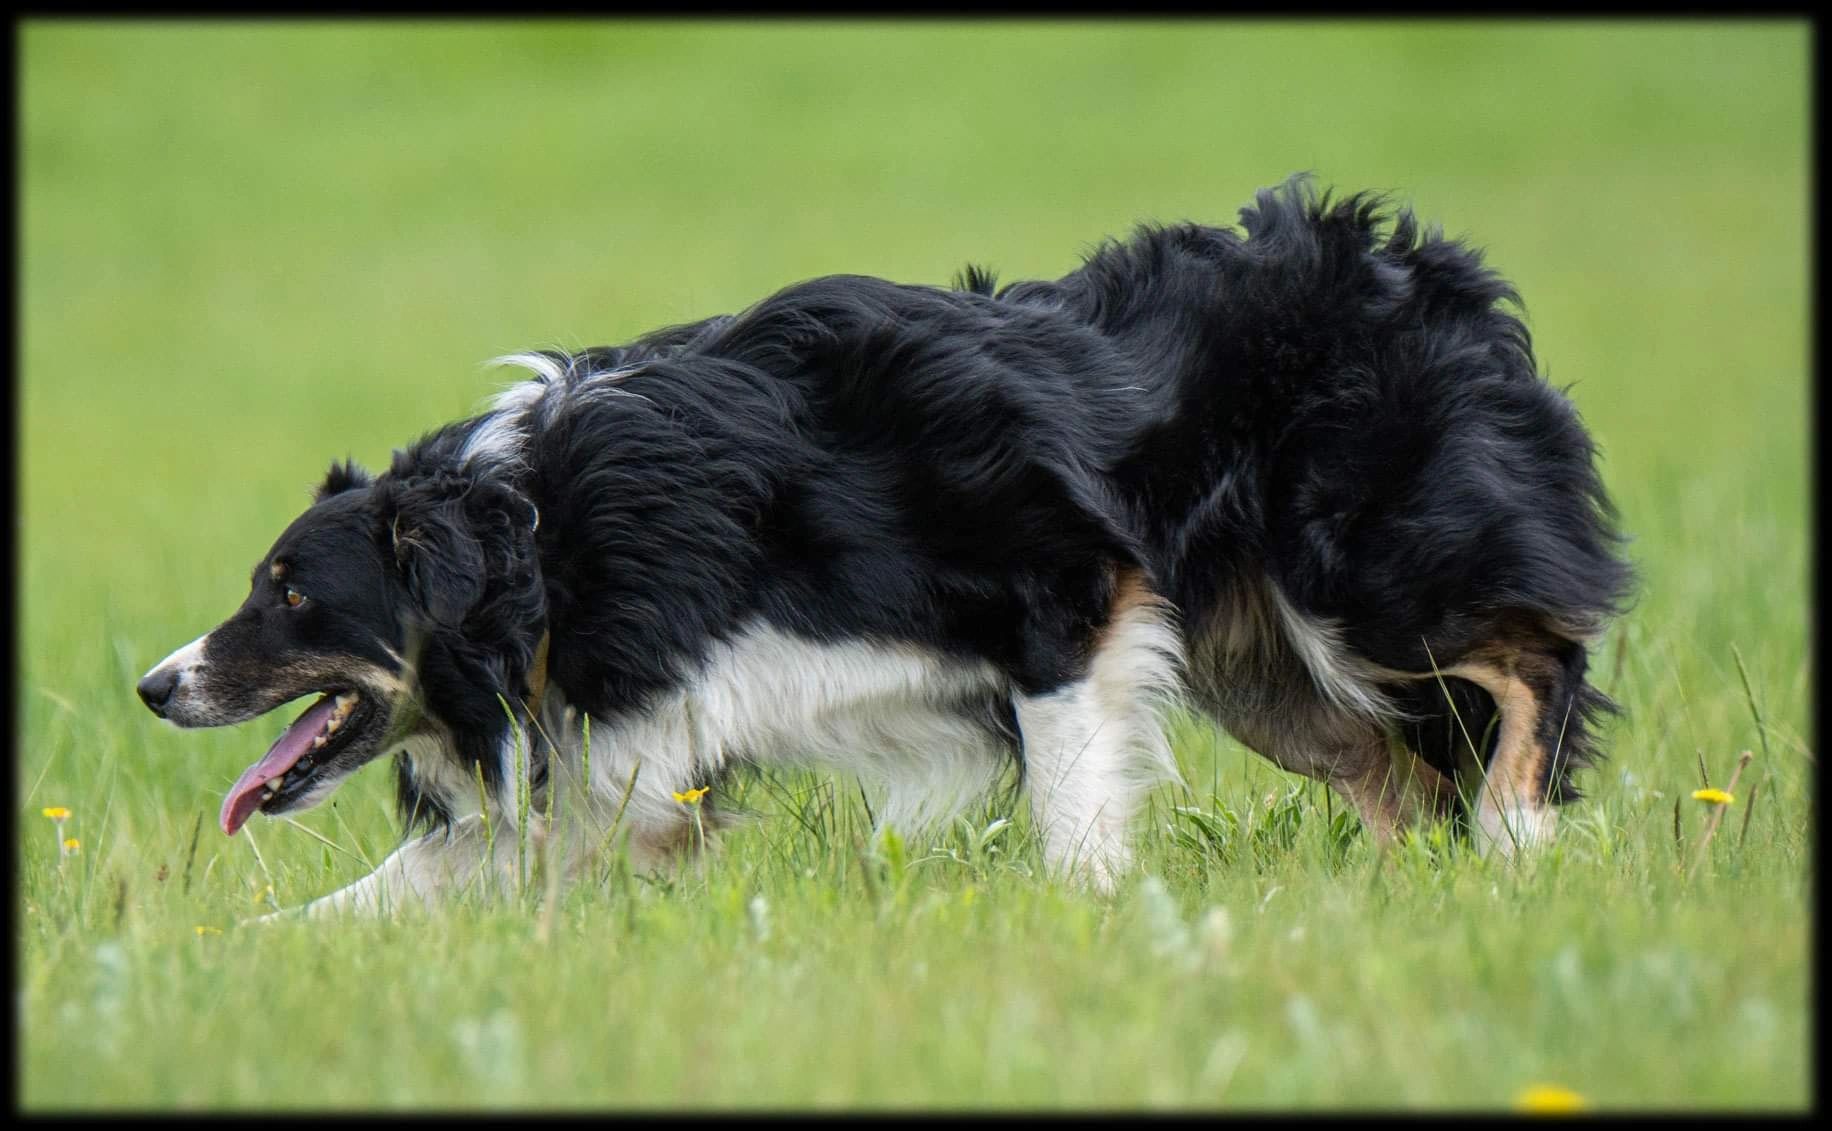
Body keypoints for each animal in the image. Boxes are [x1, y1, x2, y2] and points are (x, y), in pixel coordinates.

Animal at [139, 178, 1634, 916]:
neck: (546, 540)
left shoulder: (1064, 590)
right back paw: (1402, 901)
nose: (154, 684)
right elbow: (395, 888)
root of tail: (1424, 269)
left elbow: (1069, 809)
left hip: (1356, 581)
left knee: (1532, 665)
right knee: (1395, 775)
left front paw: (1091, 922)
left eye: (286, 592)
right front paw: (225, 963)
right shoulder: (620, 756)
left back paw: (1514, 843)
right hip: (1259, 667)